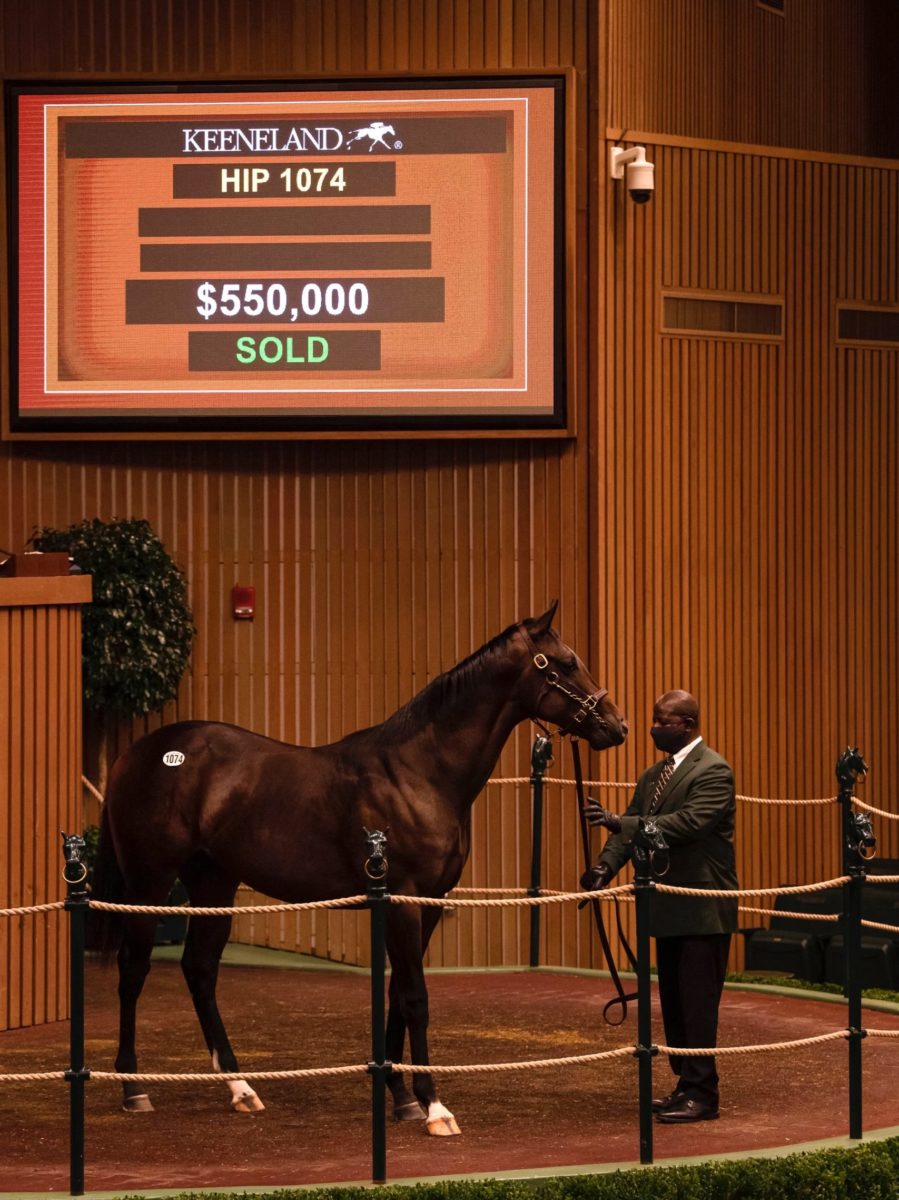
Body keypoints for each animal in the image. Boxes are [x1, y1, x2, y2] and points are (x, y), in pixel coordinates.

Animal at [91, 600, 624, 1132]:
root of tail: (136, 754)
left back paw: (241, 1089)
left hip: (214, 883)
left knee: (200, 971)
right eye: (566, 663)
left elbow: (397, 997)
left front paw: (402, 1098)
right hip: (150, 884)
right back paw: (134, 1088)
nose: (617, 725)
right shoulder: (405, 901)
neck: (420, 773)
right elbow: (416, 998)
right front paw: (434, 1106)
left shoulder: (427, 903)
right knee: (134, 968)